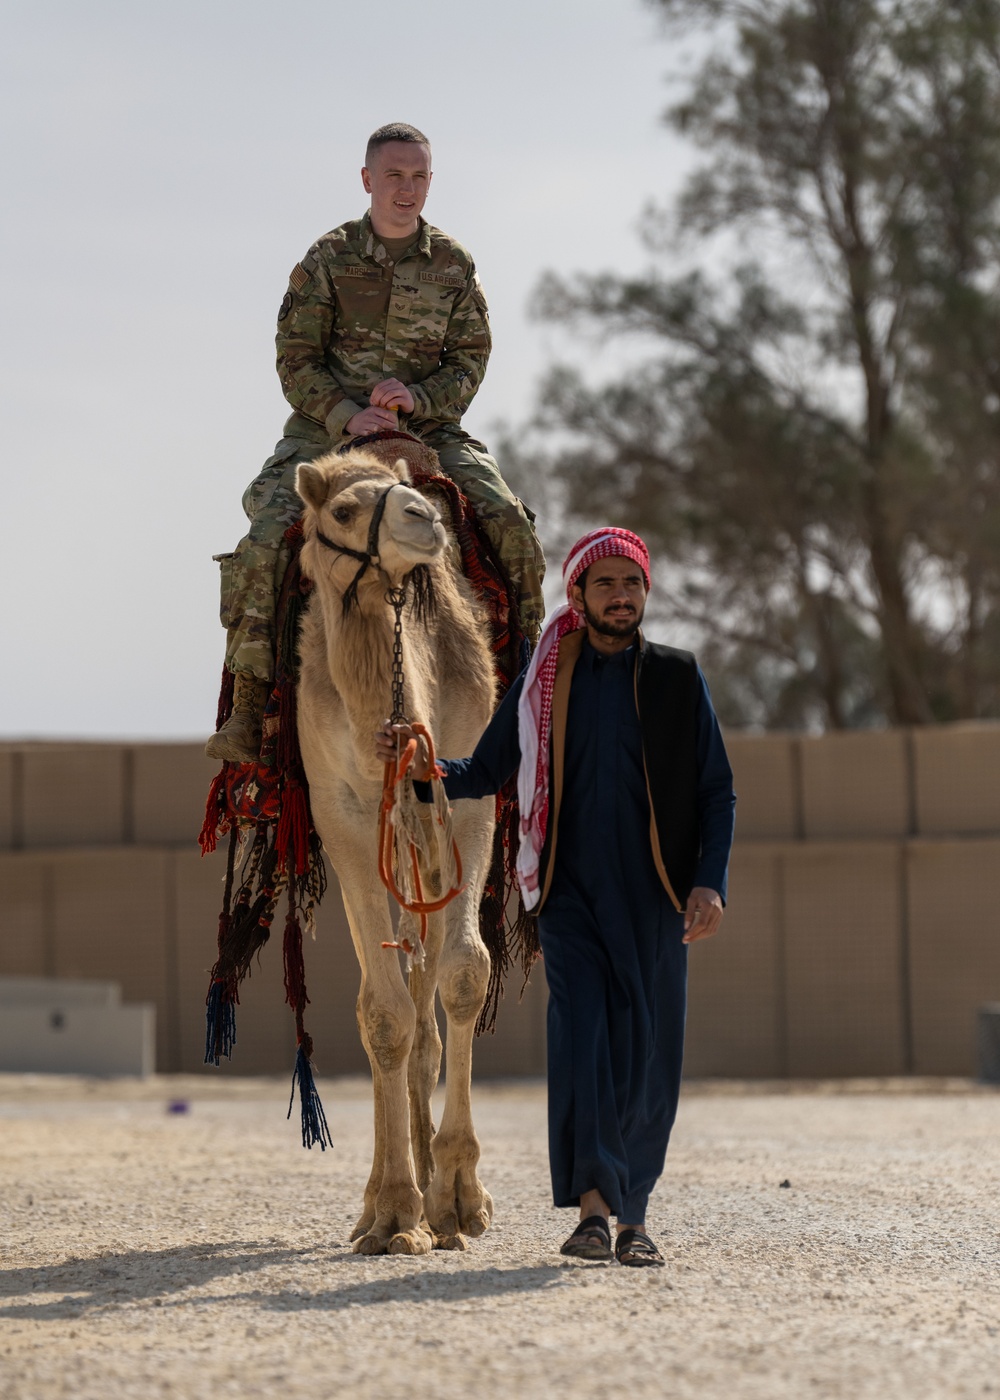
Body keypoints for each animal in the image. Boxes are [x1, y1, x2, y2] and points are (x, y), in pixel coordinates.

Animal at [294, 442, 498, 1255]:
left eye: (409, 489)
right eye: (346, 509)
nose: (425, 519)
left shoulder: (467, 795)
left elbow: (466, 975)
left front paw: (461, 1199)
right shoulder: (342, 817)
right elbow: (383, 1016)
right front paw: (396, 1214)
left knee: (429, 996)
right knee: (392, 1007)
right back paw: (381, 1200)